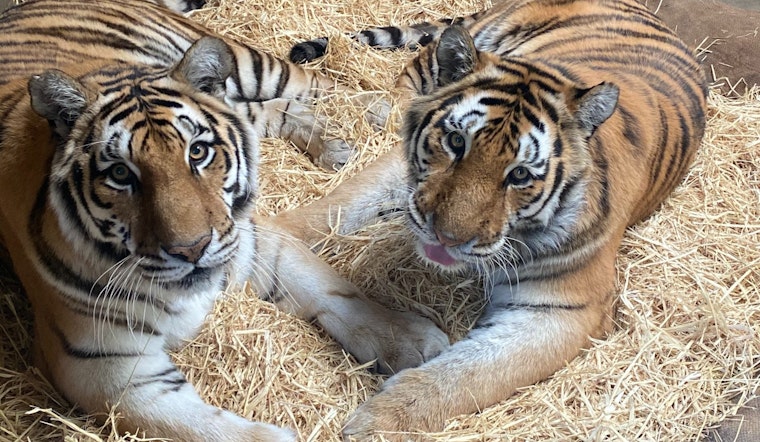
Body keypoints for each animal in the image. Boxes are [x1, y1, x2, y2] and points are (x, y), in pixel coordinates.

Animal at [0, 1, 448, 440]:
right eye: (121, 174)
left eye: (198, 152)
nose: (191, 250)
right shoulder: (103, 369)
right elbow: (204, 429)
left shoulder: (260, 243)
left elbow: (339, 294)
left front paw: (416, 340)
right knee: (267, 110)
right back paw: (330, 140)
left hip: (248, 62)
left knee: (314, 80)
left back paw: (381, 110)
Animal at [282, 0, 708, 436]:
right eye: (456, 142)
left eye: (519, 175)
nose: (446, 238)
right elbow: (343, 203)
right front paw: (278, 234)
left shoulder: (563, 310)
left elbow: (466, 376)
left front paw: (376, 423)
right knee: (411, 72)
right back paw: (382, 109)